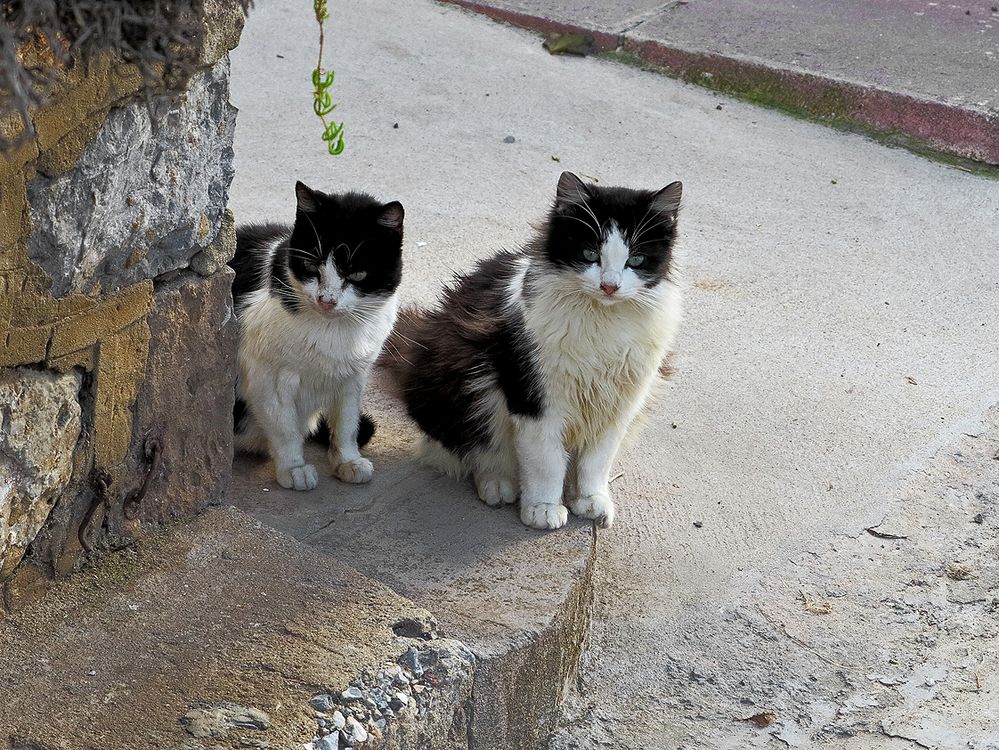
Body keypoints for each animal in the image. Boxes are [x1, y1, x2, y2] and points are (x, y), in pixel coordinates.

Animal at [232, 183, 404, 494]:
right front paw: (293, 468)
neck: (333, 331)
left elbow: (347, 423)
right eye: (311, 266)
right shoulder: (266, 376)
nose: (327, 301)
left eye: (357, 273)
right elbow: (284, 426)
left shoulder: (353, 377)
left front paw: (347, 461)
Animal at [386, 173, 684, 532]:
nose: (609, 286)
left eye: (636, 260)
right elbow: (546, 461)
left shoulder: (618, 403)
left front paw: (590, 499)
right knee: (470, 451)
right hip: (469, 382)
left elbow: (597, 460)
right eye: (589, 253)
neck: (602, 323)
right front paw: (543, 508)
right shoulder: (535, 397)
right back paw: (497, 484)